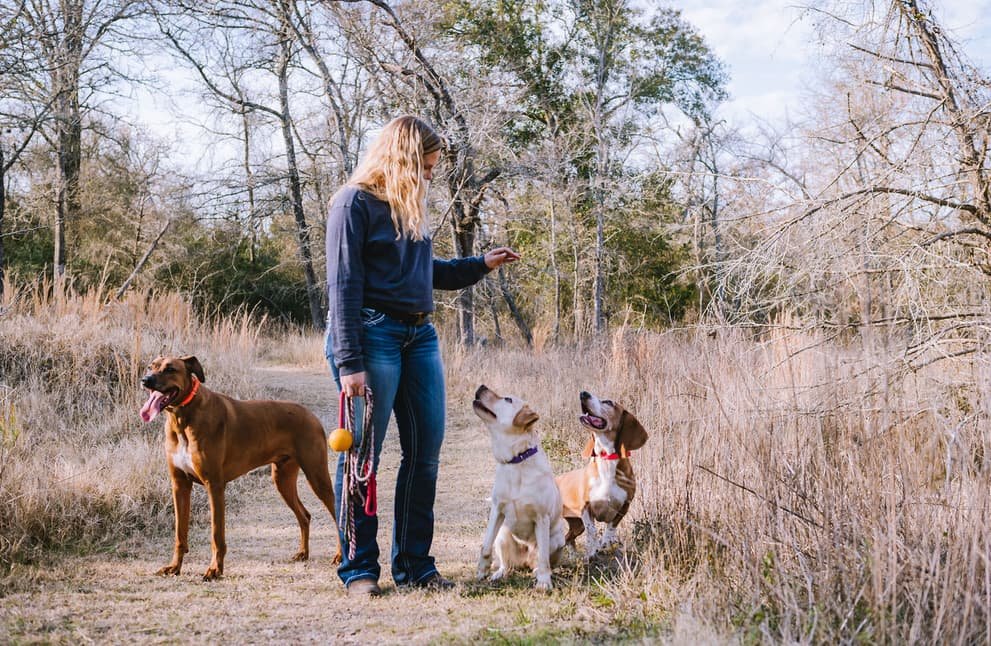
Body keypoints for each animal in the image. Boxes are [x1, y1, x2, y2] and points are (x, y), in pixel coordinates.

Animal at [140, 354, 340, 584]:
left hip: (316, 475)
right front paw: (174, 566)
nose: (145, 380)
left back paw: (339, 555)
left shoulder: (214, 486)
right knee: (304, 515)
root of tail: (311, 414)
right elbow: (179, 534)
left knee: (338, 514)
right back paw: (303, 553)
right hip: (282, 479)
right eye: (151, 367)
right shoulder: (179, 485)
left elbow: (216, 535)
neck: (182, 419)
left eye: (170, 369)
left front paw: (215, 569)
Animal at [470, 384, 564, 592]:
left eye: (507, 399)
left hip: (557, 540)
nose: (481, 386)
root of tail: (524, 562)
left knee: (540, 560)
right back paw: (499, 573)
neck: (517, 460)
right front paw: (482, 570)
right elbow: (485, 545)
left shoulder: (542, 517)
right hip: (503, 535)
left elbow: (543, 558)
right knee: (507, 564)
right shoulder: (497, 509)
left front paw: (544, 582)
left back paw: (537, 572)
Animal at [556, 392, 648, 560]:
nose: (583, 393)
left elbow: (611, 528)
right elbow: (592, 531)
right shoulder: (586, 508)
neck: (607, 460)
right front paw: (592, 550)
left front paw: (605, 543)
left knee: (568, 538)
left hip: (577, 525)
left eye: (608, 402)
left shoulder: (624, 506)